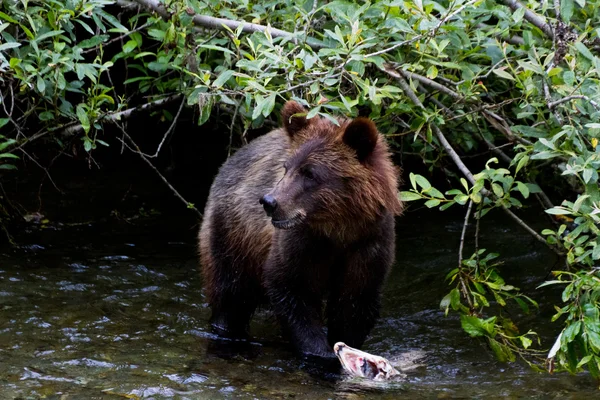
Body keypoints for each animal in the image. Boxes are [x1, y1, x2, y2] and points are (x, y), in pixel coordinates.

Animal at [198, 101, 404, 358]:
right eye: (287, 167)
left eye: (310, 173)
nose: (269, 201)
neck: (339, 230)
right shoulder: (303, 243)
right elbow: (292, 291)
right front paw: (320, 351)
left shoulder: (368, 244)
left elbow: (355, 302)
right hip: (232, 235)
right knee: (230, 294)